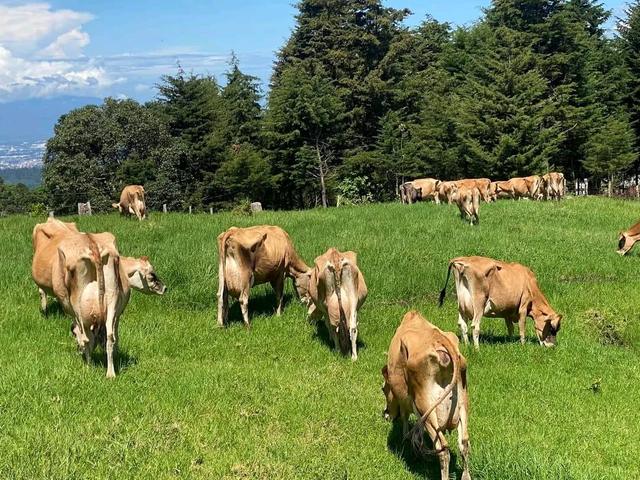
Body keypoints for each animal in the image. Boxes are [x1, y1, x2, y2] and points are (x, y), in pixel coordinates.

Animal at [382, 310, 470, 480]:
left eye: (383, 390)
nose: (386, 413)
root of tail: (441, 341)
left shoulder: (406, 402)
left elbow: (405, 420)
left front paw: (405, 441)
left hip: (426, 409)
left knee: (443, 449)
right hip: (462, 405)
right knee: (464, 443)